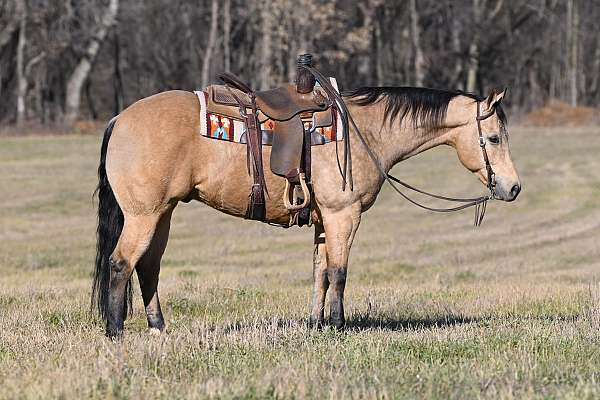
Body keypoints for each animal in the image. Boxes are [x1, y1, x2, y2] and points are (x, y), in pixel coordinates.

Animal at [92, 69, 520, 338]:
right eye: (494, 138)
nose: (513, 188)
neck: (367, 131)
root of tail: (120, 119)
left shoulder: (322, 220)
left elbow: (320, 271)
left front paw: (317, 323)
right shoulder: (343, 216)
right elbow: (339, 272)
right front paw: (339, 325)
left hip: (163, 214)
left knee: (148, 267)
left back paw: (158, 327)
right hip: (143, 216)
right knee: (121, 263)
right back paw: (115, 332)